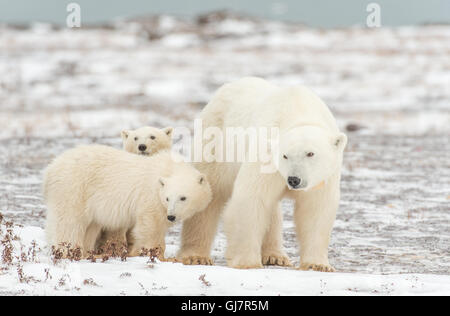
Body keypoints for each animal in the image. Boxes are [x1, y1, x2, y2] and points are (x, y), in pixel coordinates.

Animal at [178, 77, 346, 272]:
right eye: (284, 155)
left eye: (310, 153)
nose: (294, 180)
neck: (299, 111)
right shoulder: (266, 155)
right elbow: (252, 198)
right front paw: (247, 263)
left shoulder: (324, 177)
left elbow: (316, 209)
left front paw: (317, 265)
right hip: (215, 142)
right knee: (209, 196)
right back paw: (195, 256)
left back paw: (275, 256)